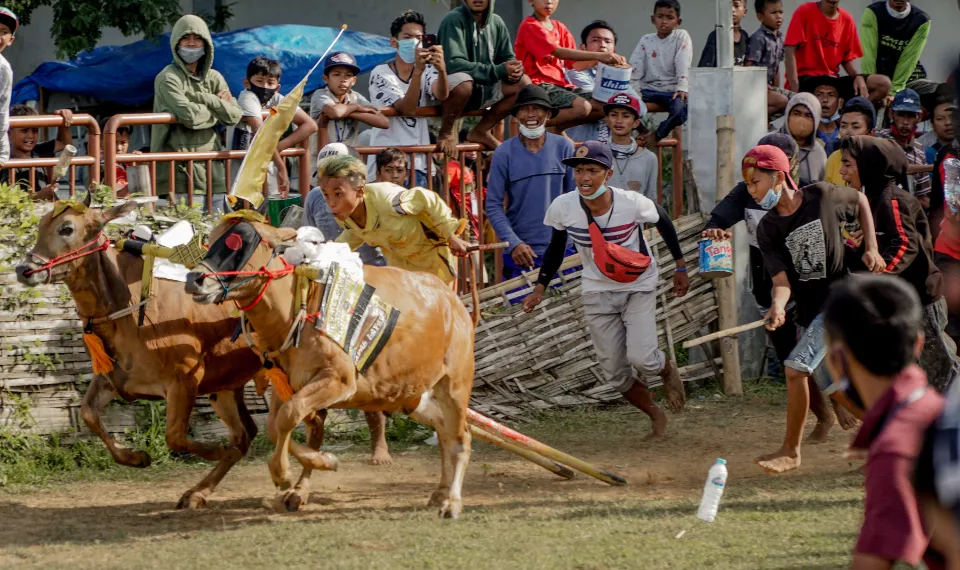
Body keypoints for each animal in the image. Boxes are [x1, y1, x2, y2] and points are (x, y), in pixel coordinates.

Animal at [185, 220, 476, 516]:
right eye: (211, 239)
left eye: (240, 243)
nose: (193, 279)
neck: (295, 312)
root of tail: (453, 302)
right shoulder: (286, 384)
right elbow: (275, 426)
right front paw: (321, 462)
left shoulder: (339, 380)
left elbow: (288, 417)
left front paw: (284, 474)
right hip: (411, 395)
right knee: (444, 431)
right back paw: (440, 493)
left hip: (454, 386)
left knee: (460, 438)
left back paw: (452, 502)